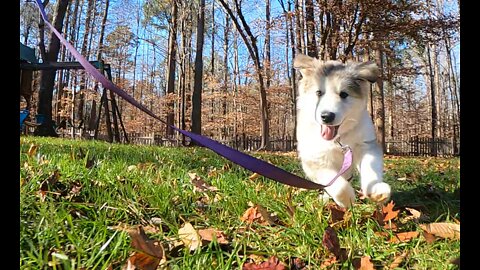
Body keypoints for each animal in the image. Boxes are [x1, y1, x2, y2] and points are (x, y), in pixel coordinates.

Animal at [292, 53, 390, 208]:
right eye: (319, 93)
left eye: (344, 94)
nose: (327, 116)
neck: (338, 139)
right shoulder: (314, 158)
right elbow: (336, 183)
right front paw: (346, 198)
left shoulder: (366, 145)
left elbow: (370, 168)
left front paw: (377, 191)